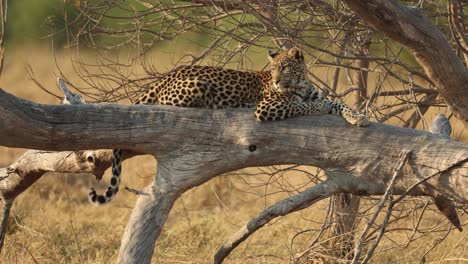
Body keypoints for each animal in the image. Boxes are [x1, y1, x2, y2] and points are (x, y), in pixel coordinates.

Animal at [88, 47, 370, 204]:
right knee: (170, 106)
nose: (277, 80)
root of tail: (166, 77)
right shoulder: (267, 107)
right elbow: (307, 105)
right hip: (195, 87)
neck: (299, 84)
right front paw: (323, 108)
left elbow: (337, 103)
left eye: (285, 67)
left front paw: (358, 117)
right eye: (274, 69)